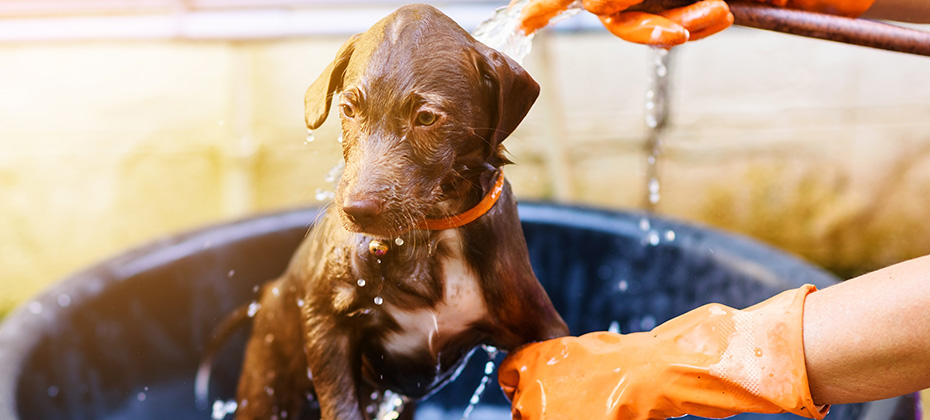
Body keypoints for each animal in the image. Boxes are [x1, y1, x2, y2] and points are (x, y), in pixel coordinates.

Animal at [201, 4, 564, 420]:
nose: (356, 211)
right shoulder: (324, 320)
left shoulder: (542, 326)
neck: (431, 235)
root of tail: (267, 294)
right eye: (348, 109)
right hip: (267, 379)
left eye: (426, 117)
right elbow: (341, 404)